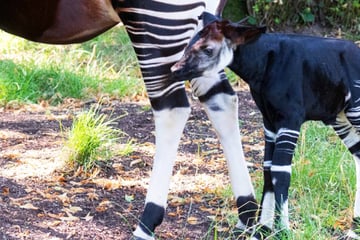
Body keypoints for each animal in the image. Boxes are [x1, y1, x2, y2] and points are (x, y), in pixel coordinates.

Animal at [171, 12, 360, 238]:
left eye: (208, 49)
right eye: (189, 43)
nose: (174, 70)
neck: (263, 64)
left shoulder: (289, 119)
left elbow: (281, 172)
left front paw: (282, 231)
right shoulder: (269, 122)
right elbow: (268, 169)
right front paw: (263, 230)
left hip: (355, 110)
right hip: (340, 116)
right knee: (359, 155)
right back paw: (354, 228)